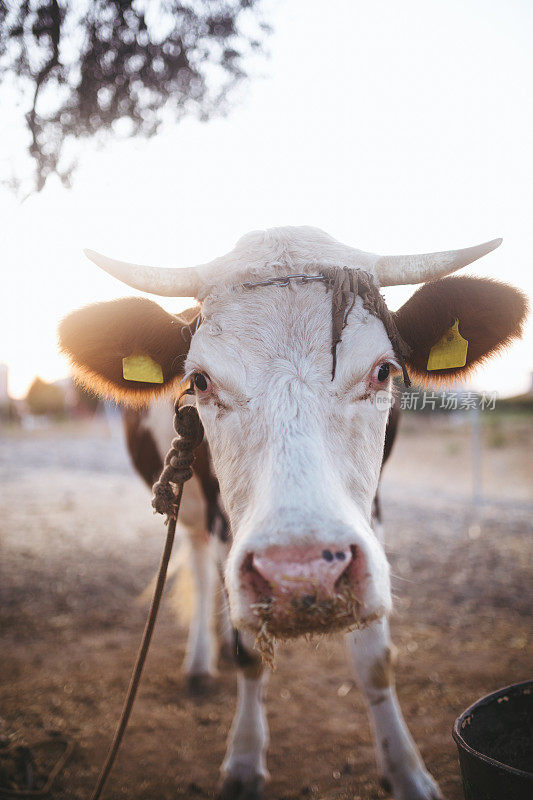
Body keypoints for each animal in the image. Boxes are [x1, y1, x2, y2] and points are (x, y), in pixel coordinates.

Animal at [57, 227, 524, 800]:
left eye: (384, 371)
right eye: (200, 381)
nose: (299, 572)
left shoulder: (371, 513)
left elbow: (374, 659)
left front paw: (407, 772)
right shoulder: (223, 520)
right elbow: (248, 653)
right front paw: (242, 760)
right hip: (192, 513)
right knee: (199, 569)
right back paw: (200, 660)